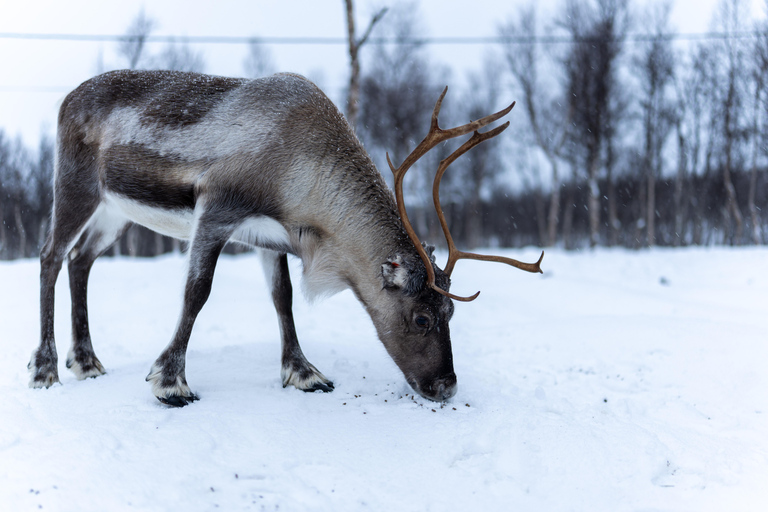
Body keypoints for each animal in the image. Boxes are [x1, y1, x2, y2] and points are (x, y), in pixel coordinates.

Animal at [28, 70, 543, 406]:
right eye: (421, 318)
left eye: (452, 311)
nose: (447, 386)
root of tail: (65, 99)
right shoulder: (216, 208)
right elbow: (197, 292)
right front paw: (170, 380)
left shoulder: (270, 237)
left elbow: (283, 298)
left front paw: (304, 373)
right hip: (76, 185)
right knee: (51, 254)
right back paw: (46, 367)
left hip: (116, 211)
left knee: (81, 259)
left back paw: (86, 361)